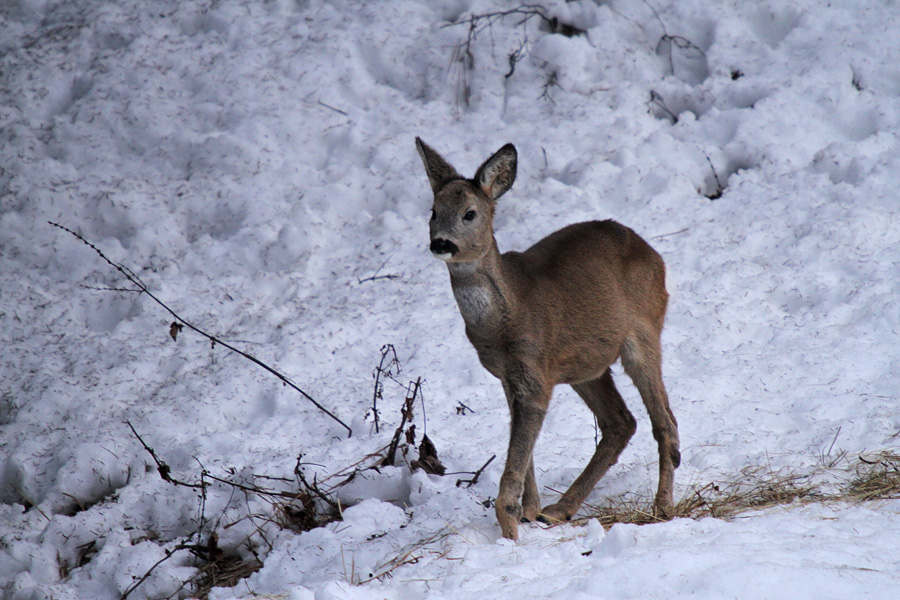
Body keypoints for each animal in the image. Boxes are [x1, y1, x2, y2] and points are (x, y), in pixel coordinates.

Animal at [416, 138, 684, 540]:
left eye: (469, 213)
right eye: (433, 211)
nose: (440, 244)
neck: (504, 319)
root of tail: (654, 254)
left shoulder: (535, 373)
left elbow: (518, 452)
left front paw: (510, 527)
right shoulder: (509, 375)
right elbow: (522, 448)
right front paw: (529, 511)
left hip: (644, 331)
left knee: (664, 420)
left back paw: (662, 506)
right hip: (585, 364)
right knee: (621, 422)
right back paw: (558, 510)